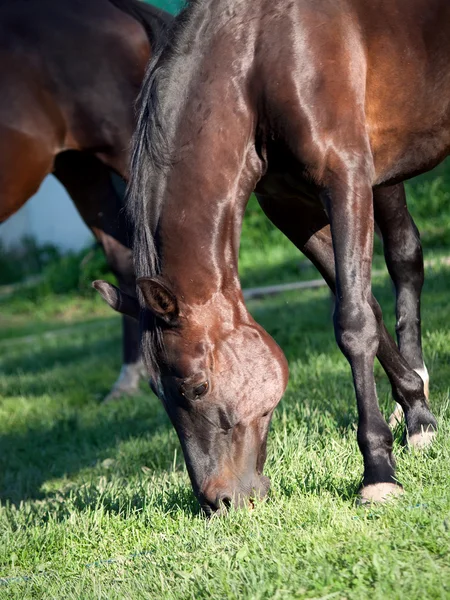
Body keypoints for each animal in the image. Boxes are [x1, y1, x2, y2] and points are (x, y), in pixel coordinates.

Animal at [94, 0, 440, 512]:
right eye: (155, 390)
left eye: (197, 386)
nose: (218, 502)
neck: (262, 54)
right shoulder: (288, 206)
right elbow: (365, 306)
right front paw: (416, 409)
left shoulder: (348, 179)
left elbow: (354, 322)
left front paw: (379, 472)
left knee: (404, 256)